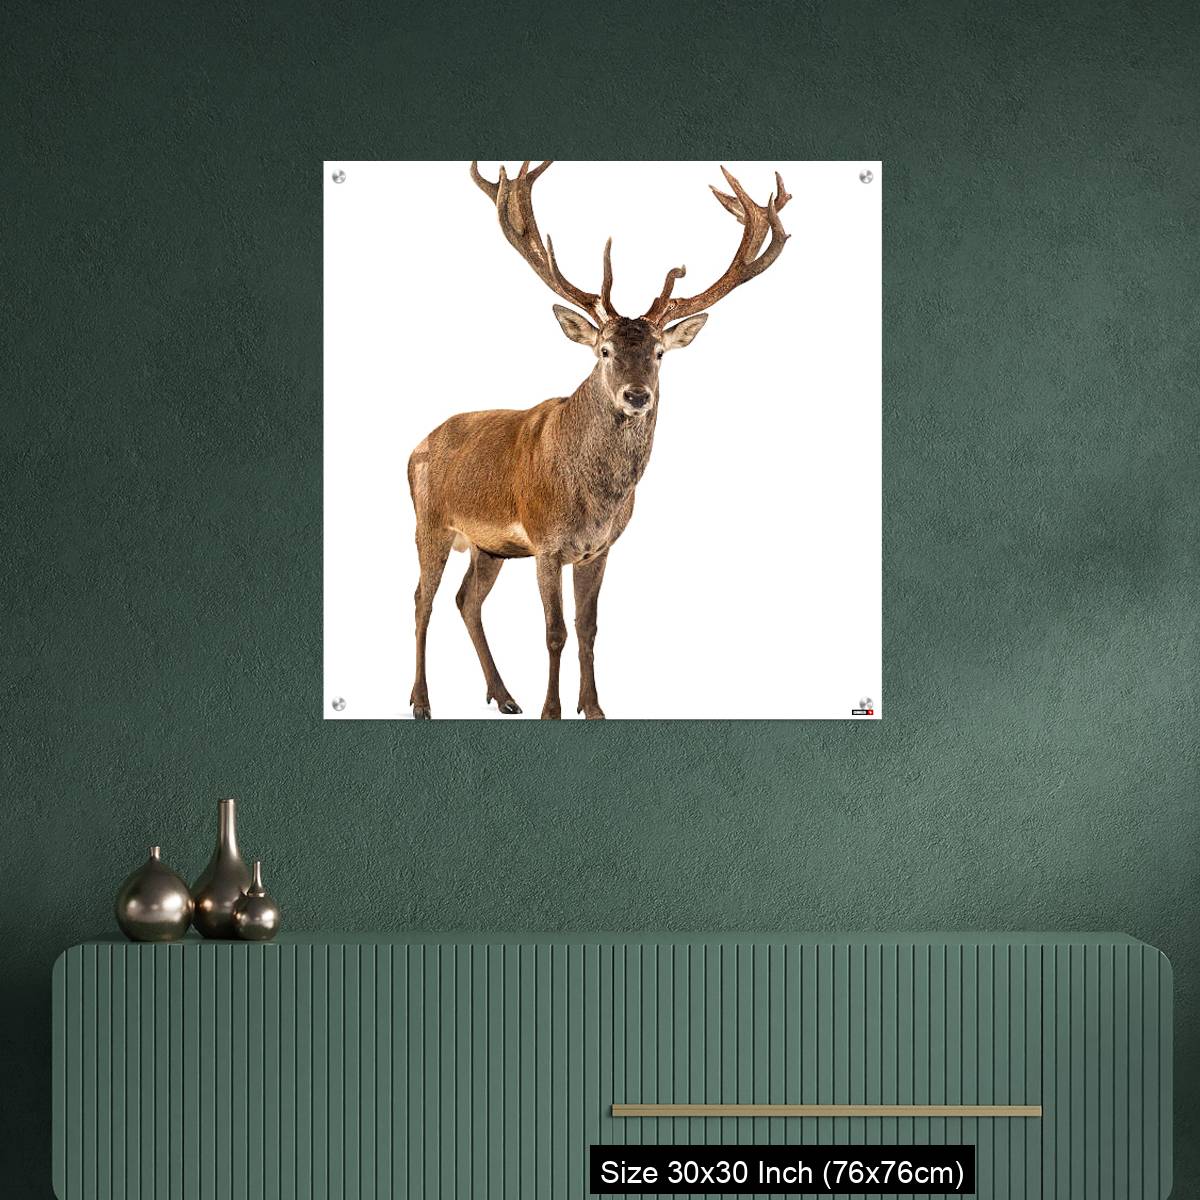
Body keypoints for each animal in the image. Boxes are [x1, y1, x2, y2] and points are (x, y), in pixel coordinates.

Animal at [407, 161, 791, 719]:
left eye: (659, 353)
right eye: (604, 350)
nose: (637, 395)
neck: (593, 499)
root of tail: (415, 448)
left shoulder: (599, 549)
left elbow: (588, 629)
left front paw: (594, 708)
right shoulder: (546, 543)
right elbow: (554, 631)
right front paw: (551, 710)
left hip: (488, 545)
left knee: (466, 601)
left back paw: (504, 696)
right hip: (429, 523)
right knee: (423, 599)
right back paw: (421, 701)